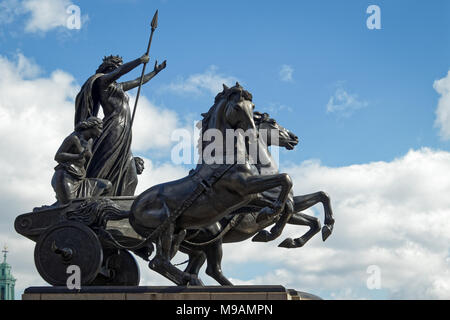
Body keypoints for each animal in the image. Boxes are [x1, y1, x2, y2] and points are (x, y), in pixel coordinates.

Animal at [128, 83, 294, 284]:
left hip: (178, 232)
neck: (225, 157)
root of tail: (132, 209)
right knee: (162, 263)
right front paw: (270, 218)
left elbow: (288, 201)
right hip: (169, 227)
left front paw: (270, 224)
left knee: (169, 262)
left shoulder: (250, 197)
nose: (253, 133)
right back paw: (191, 280)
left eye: (252, 106)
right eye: (237, 107)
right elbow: (286, 178)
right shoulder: (245, 186)